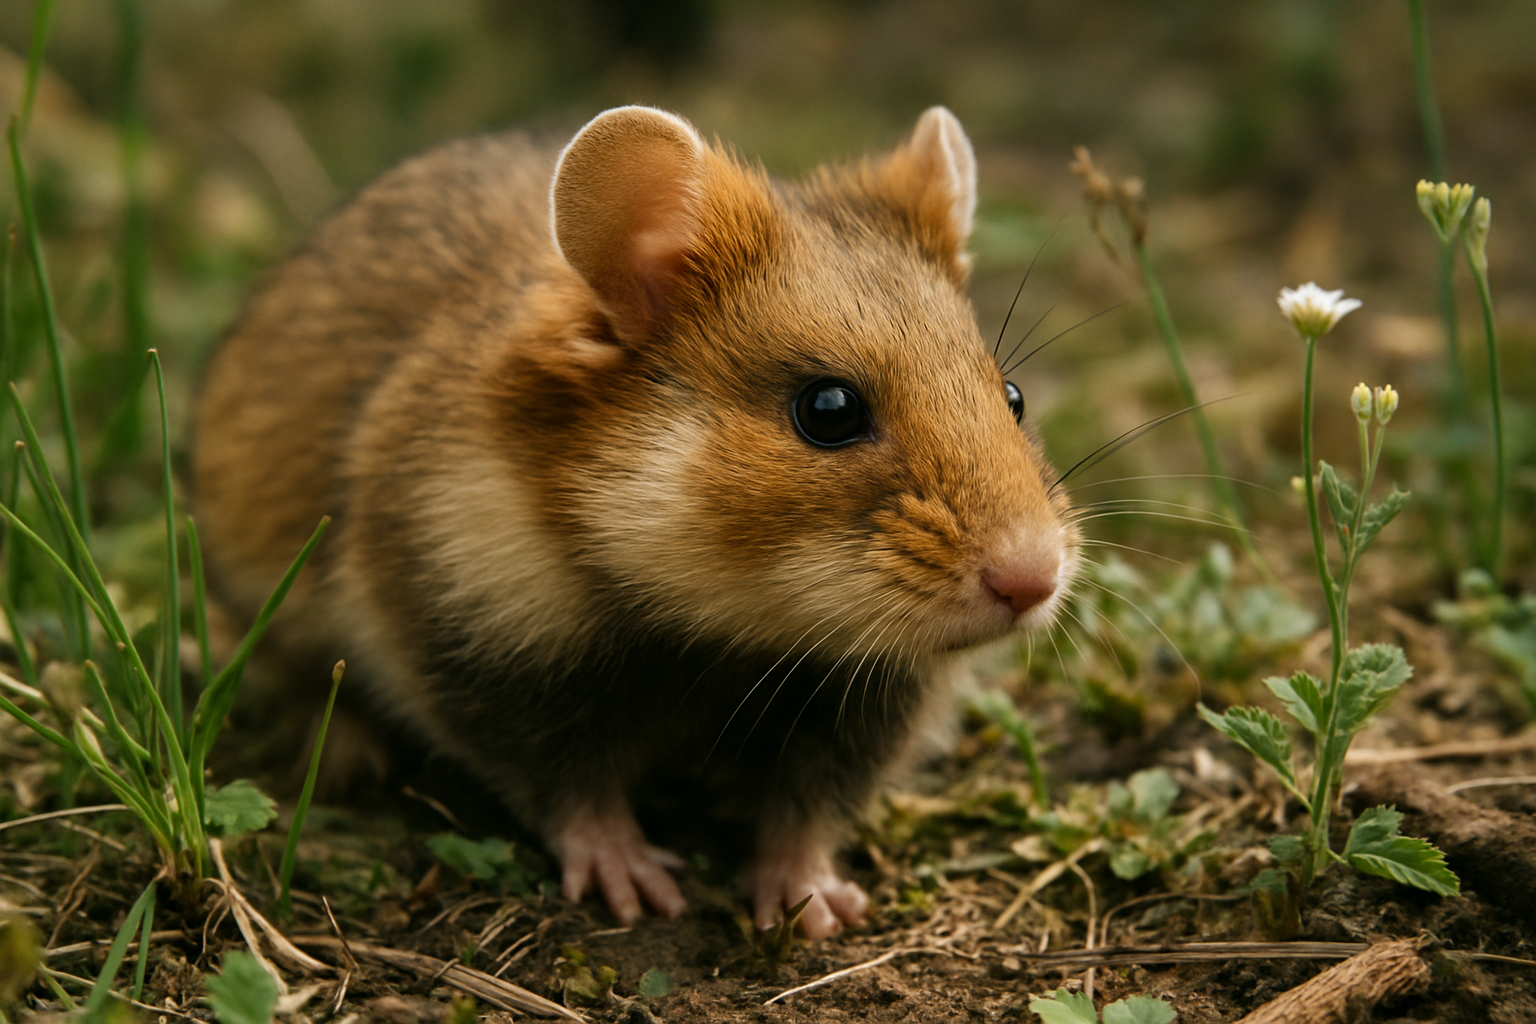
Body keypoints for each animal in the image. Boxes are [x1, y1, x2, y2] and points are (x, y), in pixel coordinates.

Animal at [191, 105, 1077, 939]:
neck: (729, 624)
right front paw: (640, 890)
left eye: (1012, 396)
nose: (1034, 583)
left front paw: (819, 908)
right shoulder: (478, 641)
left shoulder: (863, 703)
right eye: (827, 410)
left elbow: (805, 813)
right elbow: (570, 788)